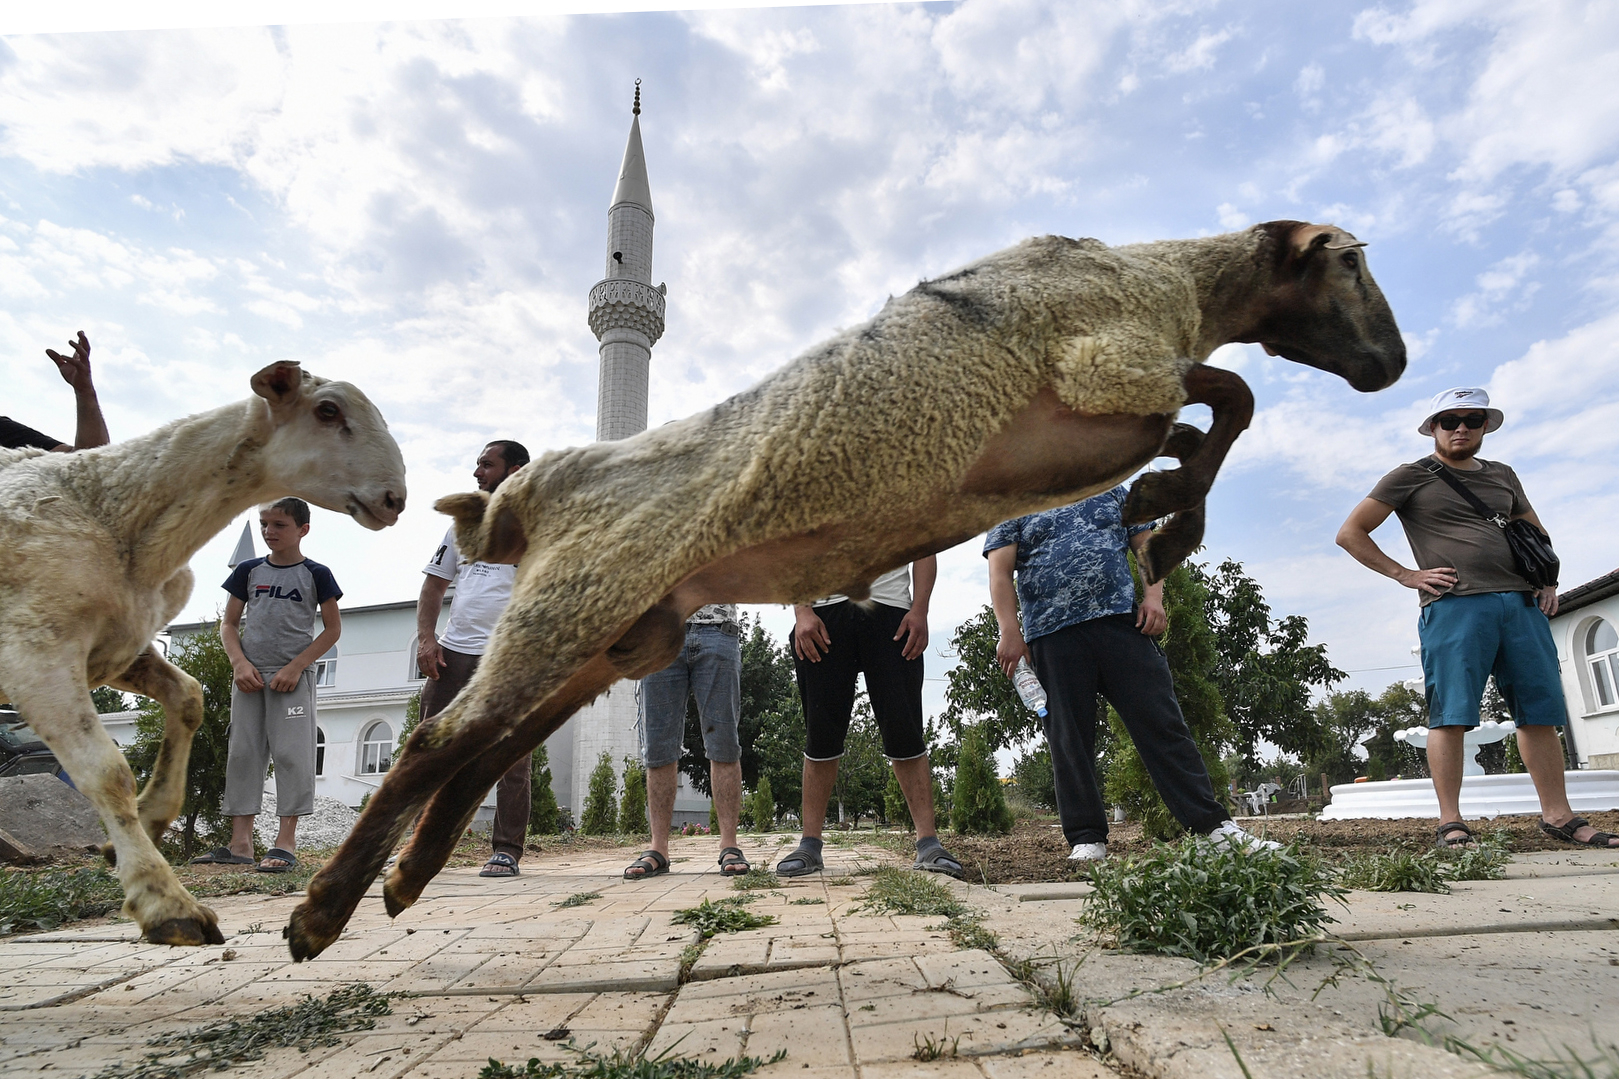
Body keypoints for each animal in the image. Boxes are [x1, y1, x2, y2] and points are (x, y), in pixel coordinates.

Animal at [1, 361, 404, 939]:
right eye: (327, 410)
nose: (396, 498)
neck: (120, 518)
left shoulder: (121, 645)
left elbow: (189, 697)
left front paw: (149, 817)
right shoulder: (36, 653)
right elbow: (107, 770)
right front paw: (166, 904)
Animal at [284, 218, 1411, 959]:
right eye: (1351, 261)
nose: (1394, 363)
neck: (1165, 277)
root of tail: (533, 492)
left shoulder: (1109, 418)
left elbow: (1209, 418)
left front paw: (1161, 519)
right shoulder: (1109, 372)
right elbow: (1229, 393)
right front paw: (1169, 513)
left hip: (623, 634)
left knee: (484, 749)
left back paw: (404, 879)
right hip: (574, 606)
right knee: (434, 738)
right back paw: (320, 911)